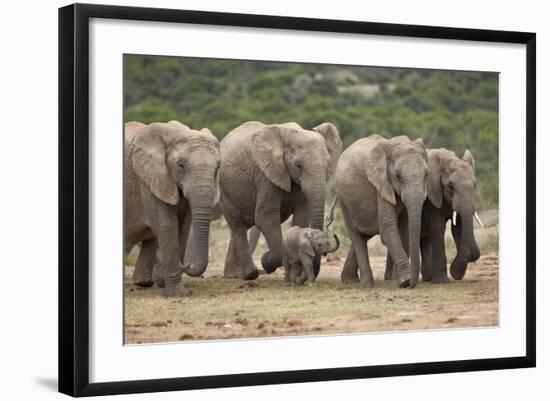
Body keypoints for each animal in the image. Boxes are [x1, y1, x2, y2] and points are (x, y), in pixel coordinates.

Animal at [125, 120, 220, 296]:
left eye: (218, 167)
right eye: (180, 165)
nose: (186, 265)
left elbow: (183, 227)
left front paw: (166, 284)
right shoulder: (150, 179)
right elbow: (167, 225)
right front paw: (178, 293)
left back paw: (144, 283)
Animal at [219, 120, 340, 280]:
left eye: (327, 165)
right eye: (298, 165)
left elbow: (302, 216)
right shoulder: (266, 175)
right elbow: (265, 216)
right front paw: (266, 262)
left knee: (241, 226)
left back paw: (235, 274)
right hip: (224, 189)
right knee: (238, 225)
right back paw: (250, 274)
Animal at [336, 134, 432, 288]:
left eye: (427, 174)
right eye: (397, 175)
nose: (412, 284)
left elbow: (404, 229)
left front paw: (398, 282)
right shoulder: (381, 184)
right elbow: (388, 228)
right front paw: (405, 281)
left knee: (364, 235)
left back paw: (349, 280)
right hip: (343, 198)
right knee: (356, 235)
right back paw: (367, 285)